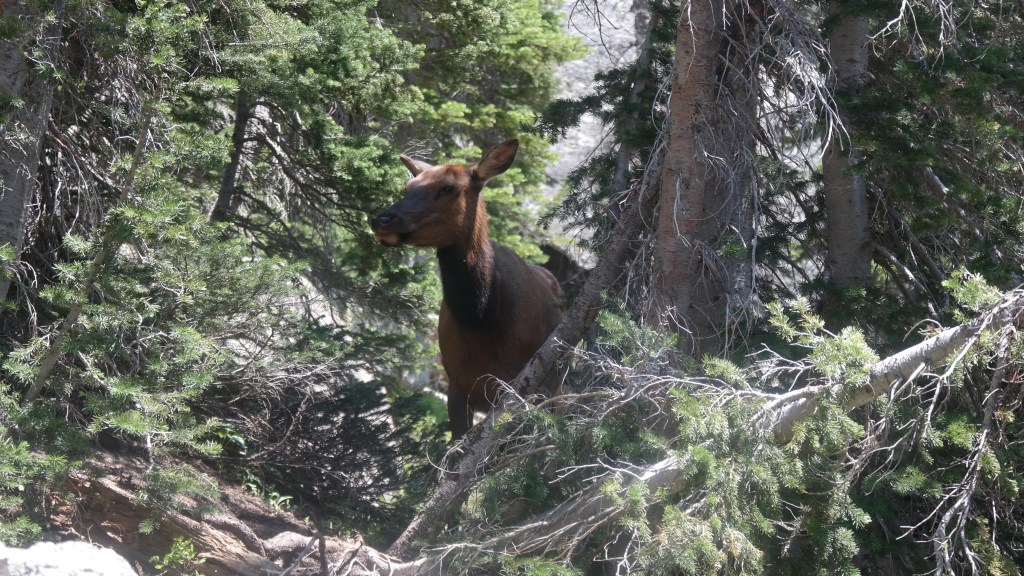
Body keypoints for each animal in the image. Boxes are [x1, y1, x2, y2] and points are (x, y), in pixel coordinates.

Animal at [371, 140, 563, 439]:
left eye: (448, 188)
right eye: (407, 188)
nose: (381, 220)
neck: (481, 318)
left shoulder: (532, 386)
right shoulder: (458, 387)